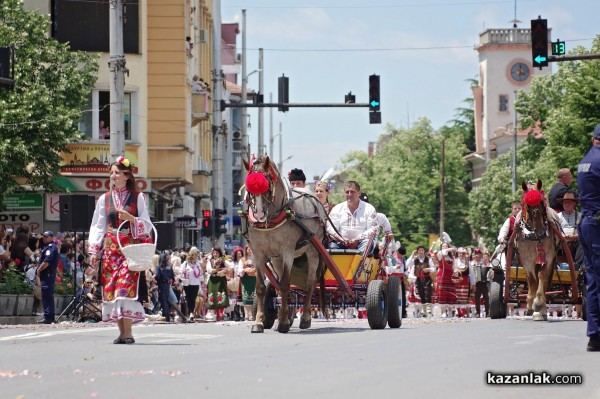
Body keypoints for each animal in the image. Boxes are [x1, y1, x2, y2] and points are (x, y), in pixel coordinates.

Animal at [241, 156, 326, 334]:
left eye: (267, 184)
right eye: (249, 187)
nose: (259, 214)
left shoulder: (287, 251)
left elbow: (286, 284)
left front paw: (284, 323)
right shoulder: (258, 253)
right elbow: (260, 287)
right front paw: (259, 322)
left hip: (313, 251)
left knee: (309, 283)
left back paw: (305, 317)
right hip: (276, 259)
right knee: (279, 285)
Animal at [510, 181, 564, 322]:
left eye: (542, 202)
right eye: (527, 205)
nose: (540, 231)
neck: (534, 236)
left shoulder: (548, 257)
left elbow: (542, 277)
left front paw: (539, 305)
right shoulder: (527, 260)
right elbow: (533, 281)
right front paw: (531, 303)